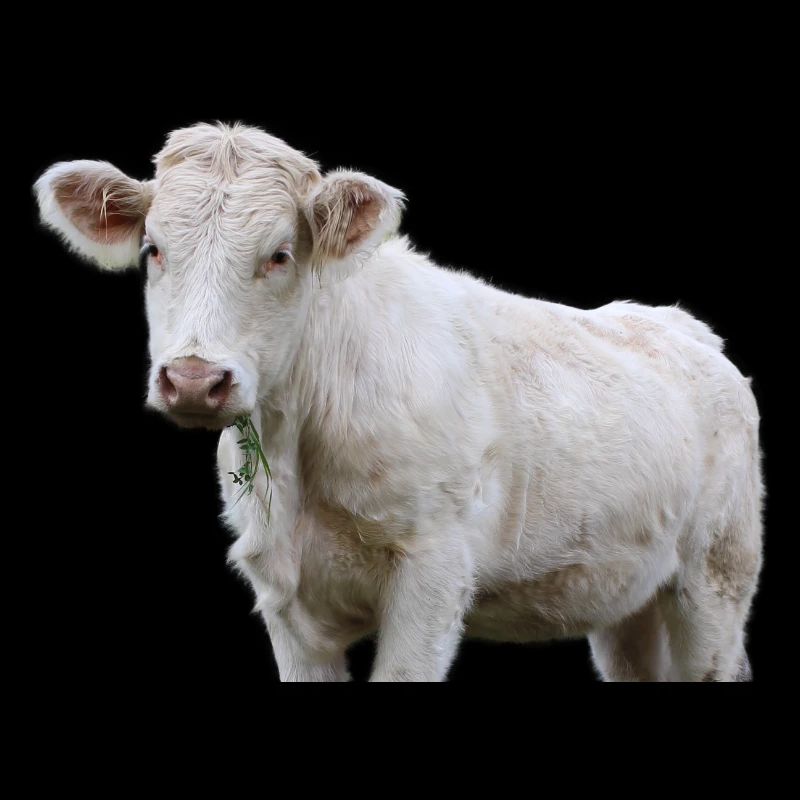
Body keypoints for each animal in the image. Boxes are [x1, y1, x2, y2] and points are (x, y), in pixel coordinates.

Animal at [35, 122, 763, 681]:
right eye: (154, 249)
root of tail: (676, 322)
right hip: (622, 596)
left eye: (280, 254)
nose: (192, 378)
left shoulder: (433, 573)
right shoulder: (286, 599)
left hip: (716, 576)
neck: (300, 456)